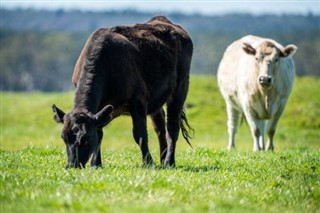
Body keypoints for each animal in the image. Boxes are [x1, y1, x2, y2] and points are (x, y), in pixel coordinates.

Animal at [52, 15, 195, 169]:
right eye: (64, 138)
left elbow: (139, 134)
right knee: (160, 127)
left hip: (181, 87)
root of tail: (164, 20)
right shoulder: (100, 110)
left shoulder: (138, 101)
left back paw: (169, 161)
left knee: (172, 127)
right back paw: (162, 160)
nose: (71, 165)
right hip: (156, 99)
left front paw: (148, 162)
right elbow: (99, 133)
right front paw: (96, 164)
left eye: (85, 138)